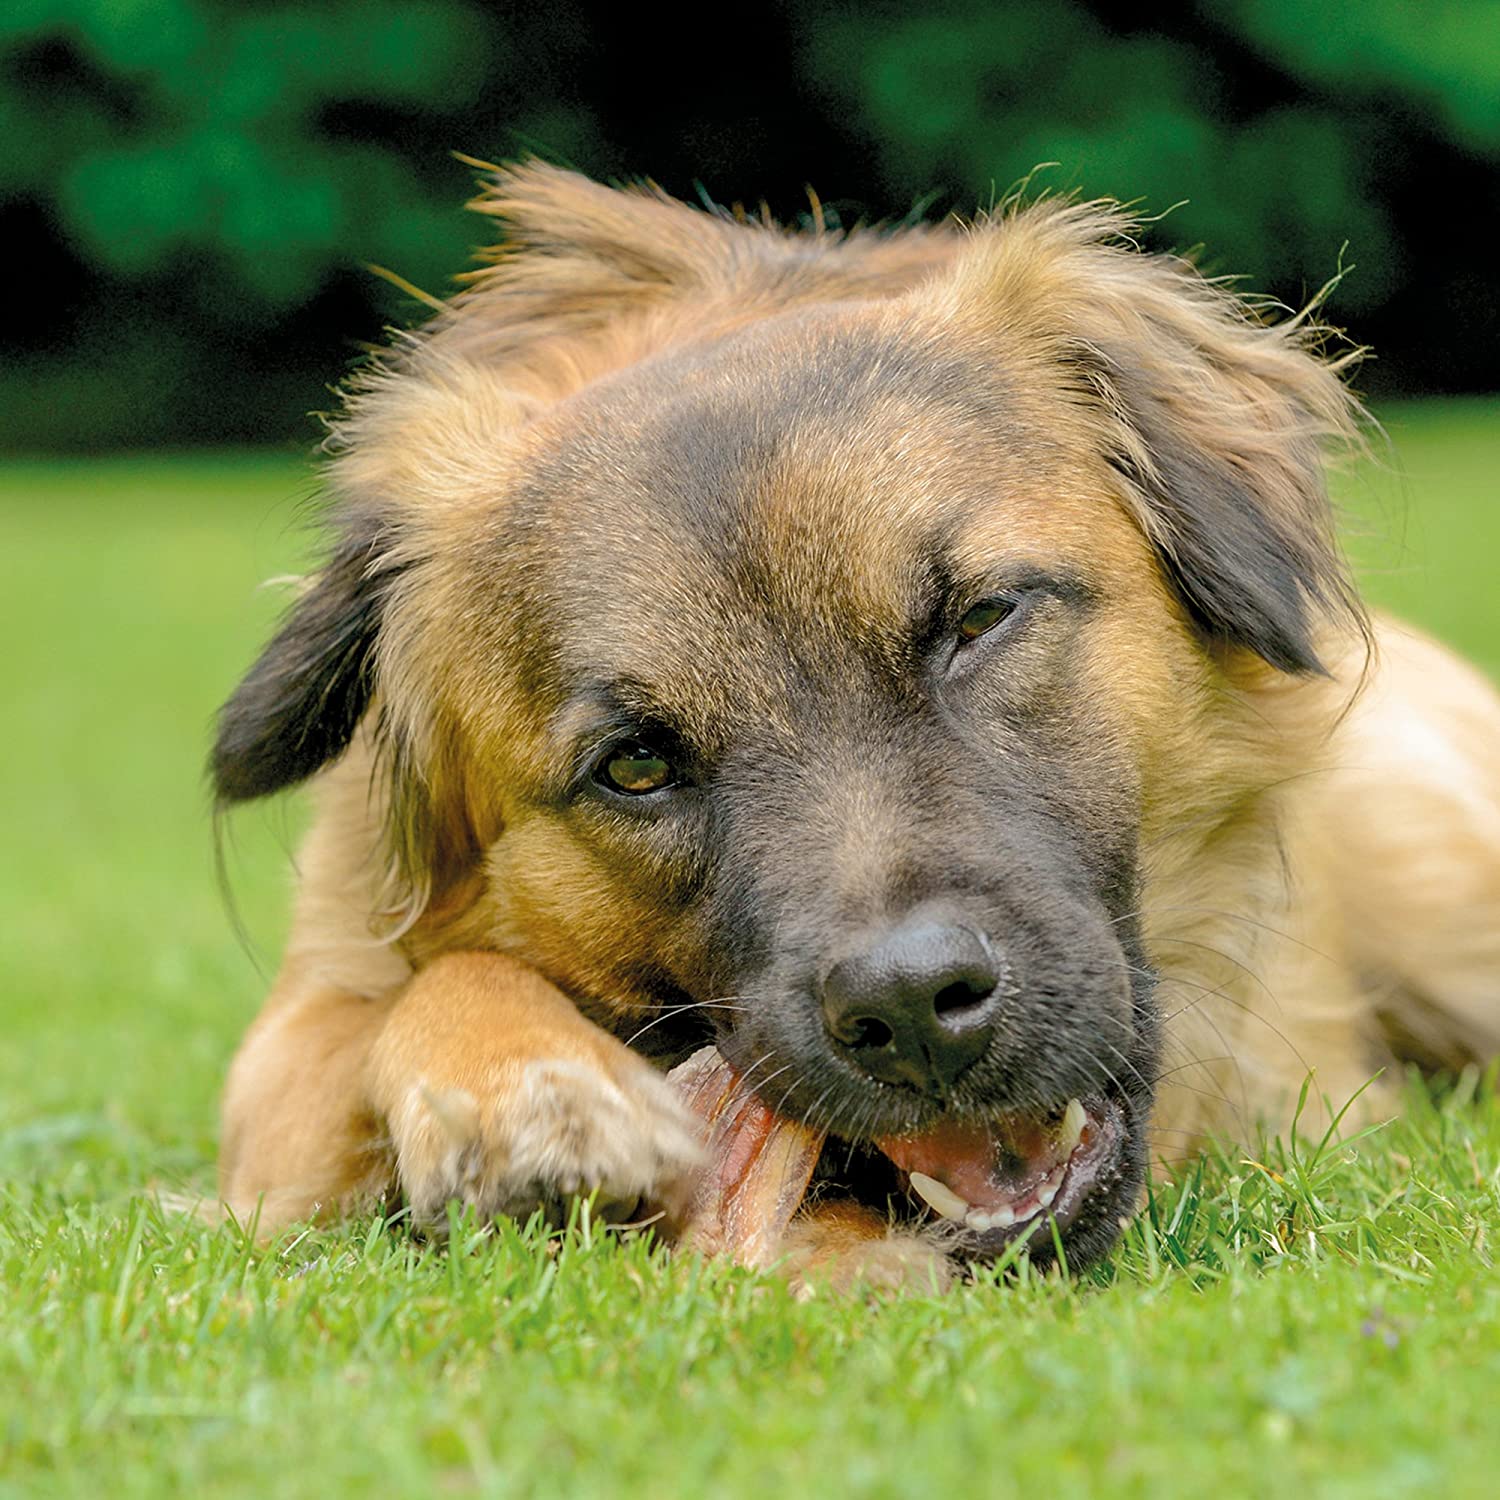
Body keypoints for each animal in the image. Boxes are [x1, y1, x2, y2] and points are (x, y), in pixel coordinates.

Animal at [211, 161, 1500, 1290]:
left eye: (978, 619)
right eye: (636, 763)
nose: (914, 1011)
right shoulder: (296, 1038)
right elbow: (408, 995)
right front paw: (530, 1086)